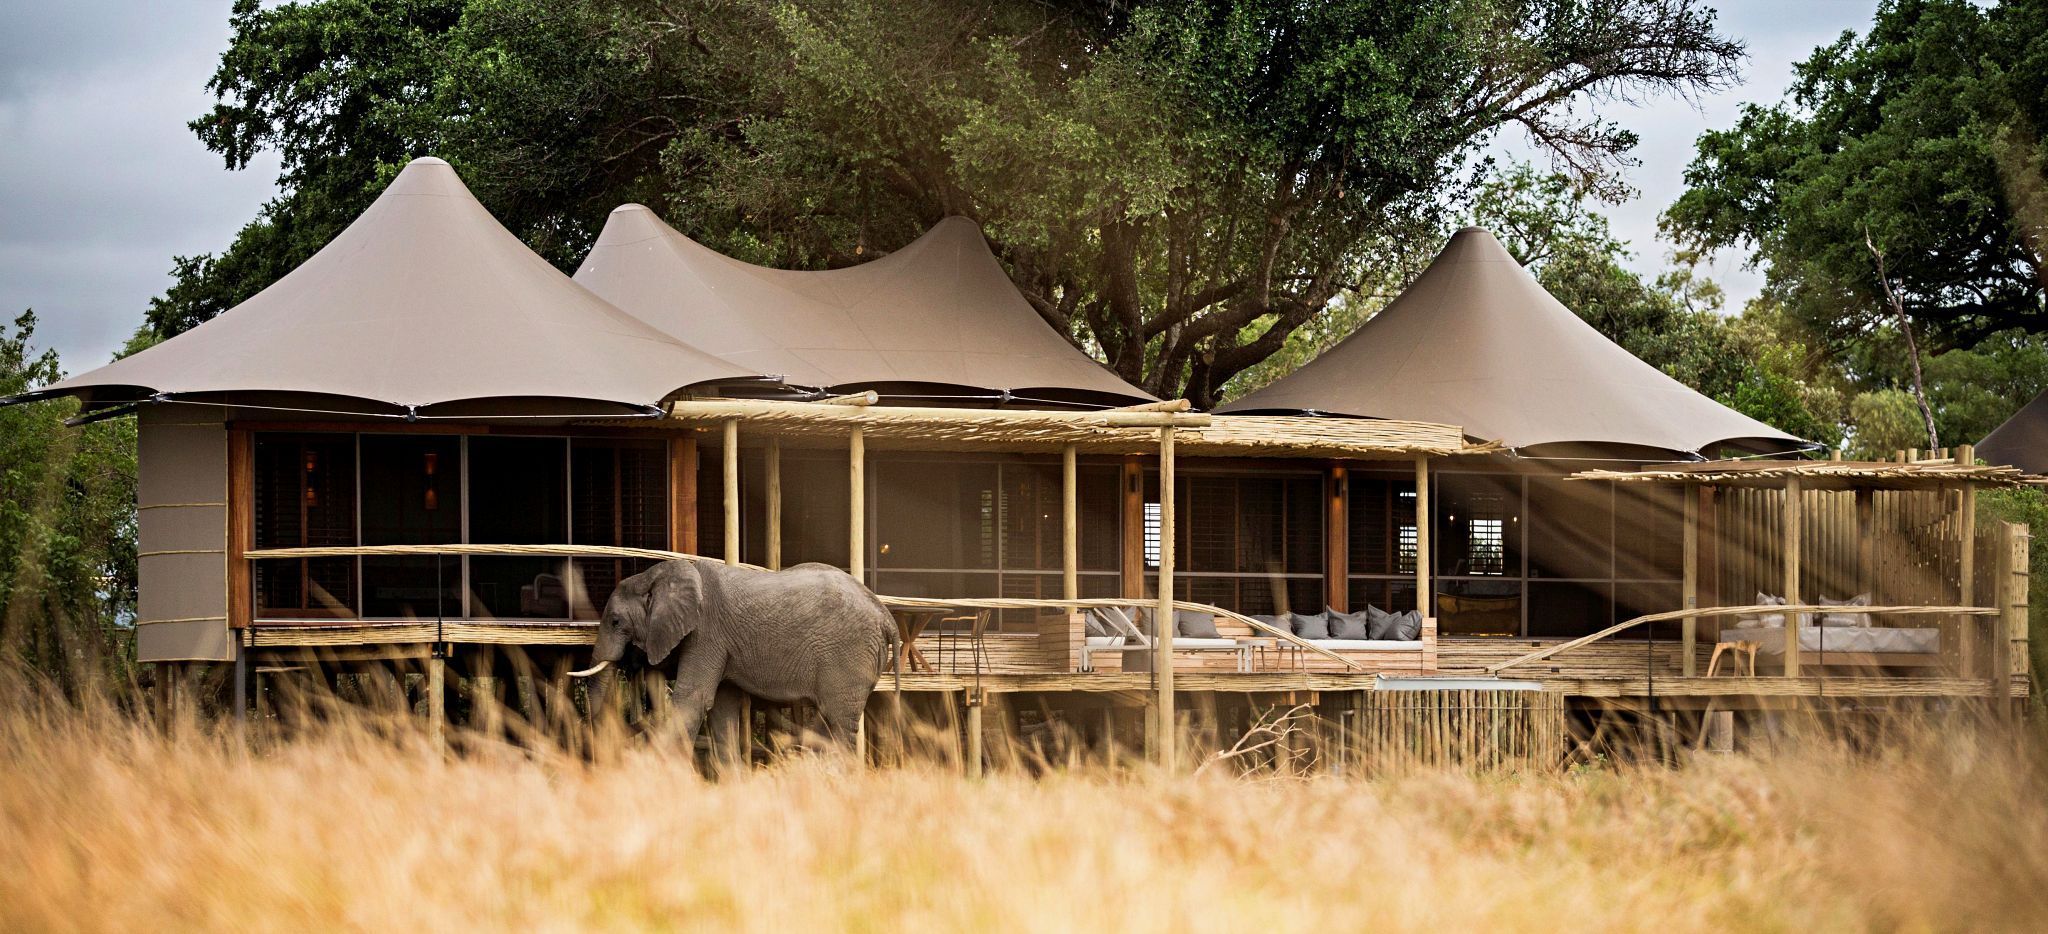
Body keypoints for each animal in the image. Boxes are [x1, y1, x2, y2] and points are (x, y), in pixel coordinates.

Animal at [573, 557, 901, 749]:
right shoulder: (721, 644)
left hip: (849, 656)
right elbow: (722, 709)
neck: (656, 573)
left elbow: (693, 700)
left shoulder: (706, 633)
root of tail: (887, 617)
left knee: (839, 723)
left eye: (615, 622)